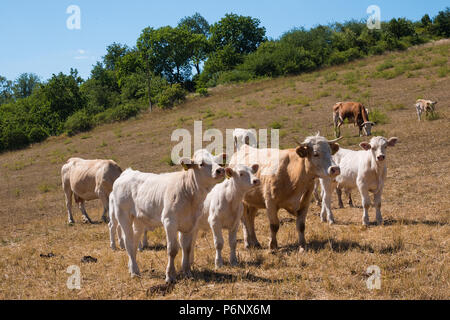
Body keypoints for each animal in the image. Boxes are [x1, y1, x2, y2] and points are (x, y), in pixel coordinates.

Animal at [109, 150, 225, 282]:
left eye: (218, 161)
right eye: (201, 163)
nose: (220, 170)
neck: (189, 194)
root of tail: (127, 173)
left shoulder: (190, 224)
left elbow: (187, 248)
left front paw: (187, 272)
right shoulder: (169, 222)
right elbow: (172, 249)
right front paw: (170, 275)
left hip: (139, 220)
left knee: (134, 241)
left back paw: (132, 267)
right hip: (123, 216)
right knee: (128, 241)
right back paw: (134, 271)